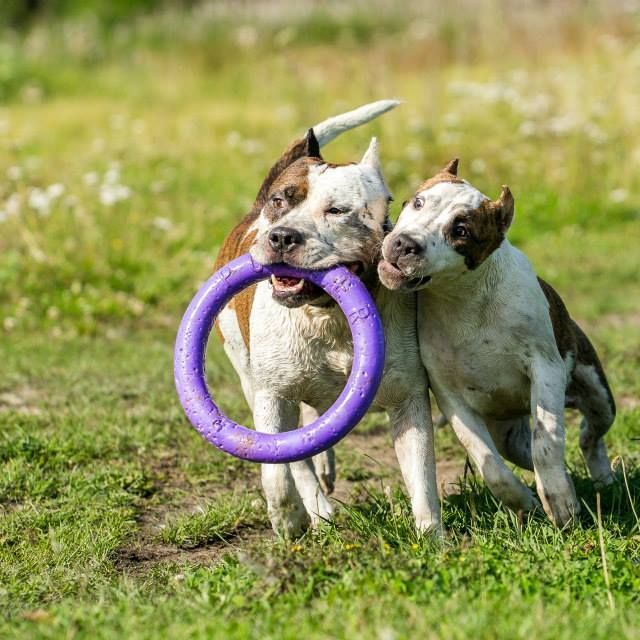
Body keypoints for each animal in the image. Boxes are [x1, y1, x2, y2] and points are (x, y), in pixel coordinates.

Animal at [215, 101, 440, 540]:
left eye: (336, 211)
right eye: (281, 201)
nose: (282, 236)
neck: (328, 314)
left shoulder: (408, 400)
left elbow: (422, 475)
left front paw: (434, 538)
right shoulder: (272, 396)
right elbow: (277, 471)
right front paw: (289, 518)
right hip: (249, 374)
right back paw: (315, 510)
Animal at [380, 160, 616, 524]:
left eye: (461, 231)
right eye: (418, 202)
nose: (404, 244)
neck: (464, 299)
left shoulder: (546, 369)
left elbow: (547, 443)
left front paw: (560, 501)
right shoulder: (450, 397)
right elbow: (488, 463)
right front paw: (524, 502)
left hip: (597, 393)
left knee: (590, 435)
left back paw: (601, 477)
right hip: (507, 435)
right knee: (524, 451)